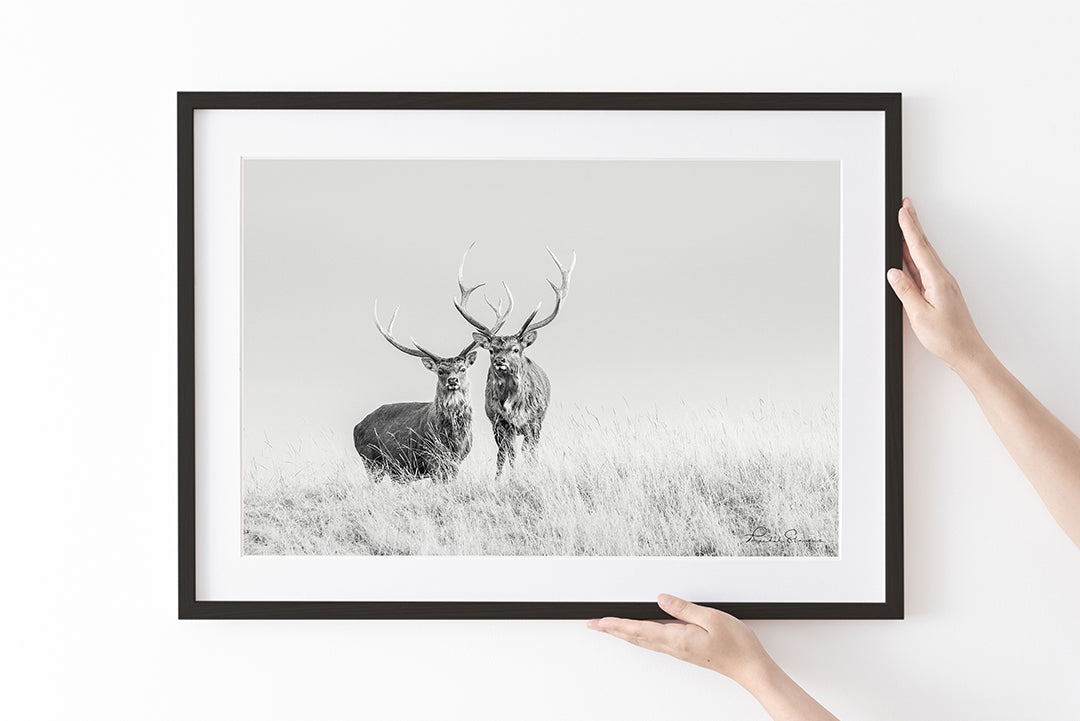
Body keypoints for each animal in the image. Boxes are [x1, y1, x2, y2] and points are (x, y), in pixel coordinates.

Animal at [352, 297, 507, 482]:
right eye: (440, 371)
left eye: (462, 368)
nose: (453, 380)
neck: (453, 439)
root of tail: (356, 427)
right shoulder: (431, 456)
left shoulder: (458, 459)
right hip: (371, 461)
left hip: (395, 470)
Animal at [454, 246, 575, 477]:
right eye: (492, 350)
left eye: (516, 349)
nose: (500, 360)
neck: (513, 407)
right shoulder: (498, 422)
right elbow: (508, 455)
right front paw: (508, 478)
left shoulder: (534, 422)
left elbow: (529, 454)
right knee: (503, 454)